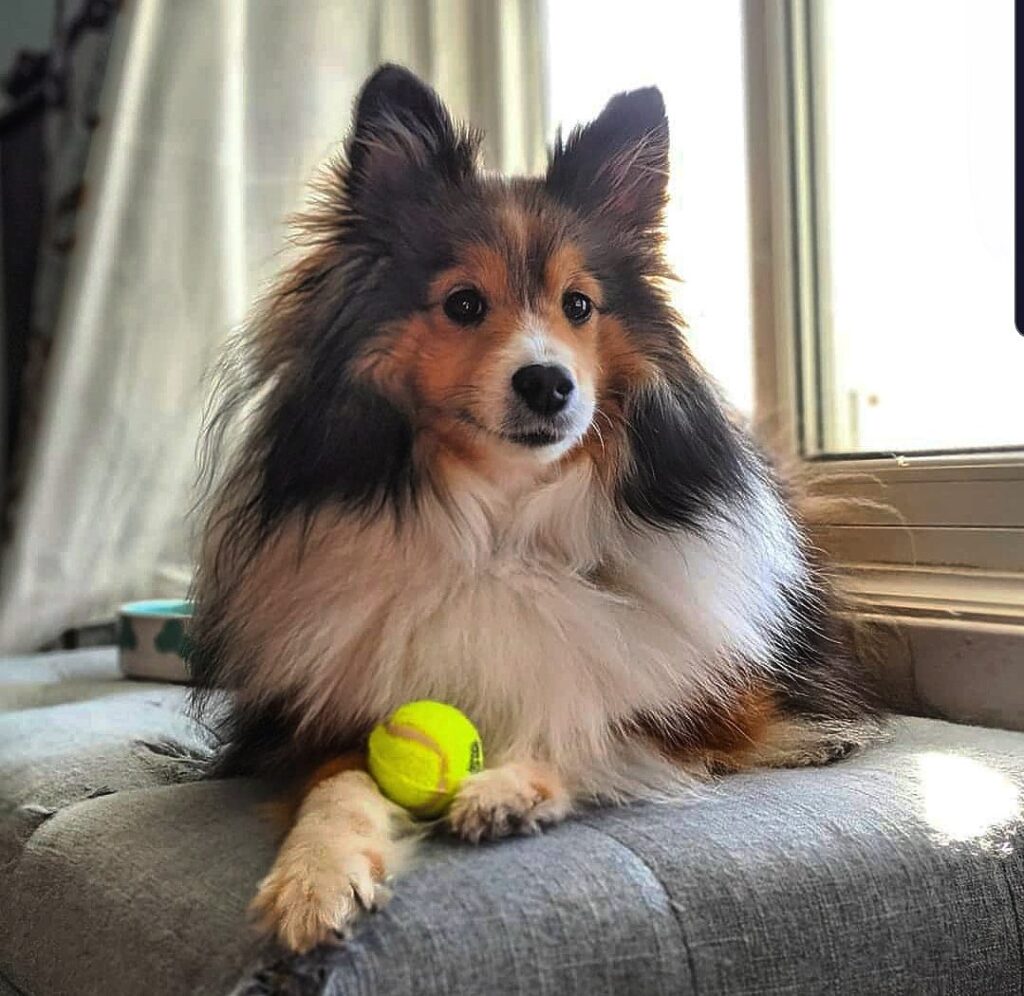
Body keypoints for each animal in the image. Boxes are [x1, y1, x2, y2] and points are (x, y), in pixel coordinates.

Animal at [189, 64, 881, 954]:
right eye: (463, 304)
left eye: (579, 305)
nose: (549, 383)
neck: (503, 528)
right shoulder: (324, 723)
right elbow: (338, 789)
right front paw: (313, 883)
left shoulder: (712, 704)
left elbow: (595, 718)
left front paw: (507, 788)